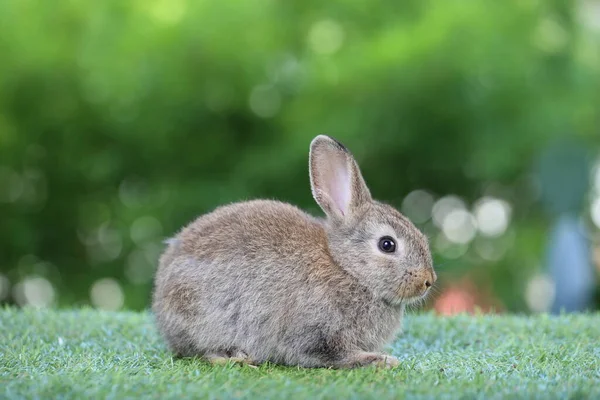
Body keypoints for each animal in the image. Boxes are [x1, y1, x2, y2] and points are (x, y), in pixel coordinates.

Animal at [152, 134, 436, 368]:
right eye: (387, 244)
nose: (428, 280)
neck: (346, 268)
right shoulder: (314, 332)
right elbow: (333, 355)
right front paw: (380, 360)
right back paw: (237, 357)